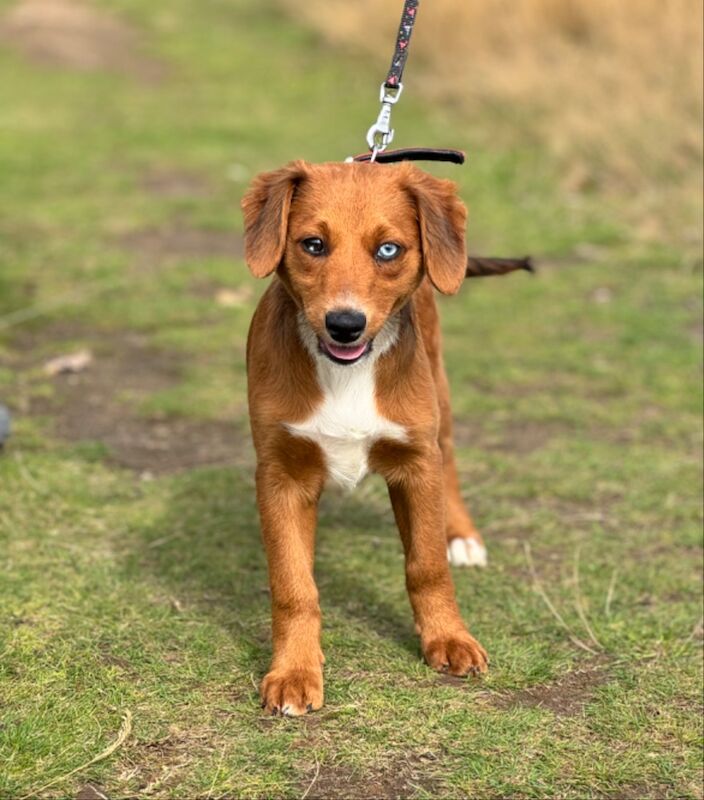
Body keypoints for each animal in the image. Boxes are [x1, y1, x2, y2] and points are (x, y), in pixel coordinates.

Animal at [243, 159, 490, 716]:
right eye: (313, 244)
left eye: (388, 250)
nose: (345, 324)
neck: (346, 373)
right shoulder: (280, 474)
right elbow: (294, 585)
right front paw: (294, 671)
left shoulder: (417, 463)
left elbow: (427, 565)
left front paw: (449, 639)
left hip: (440, 405)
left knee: (452, 465)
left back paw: (463, 536)